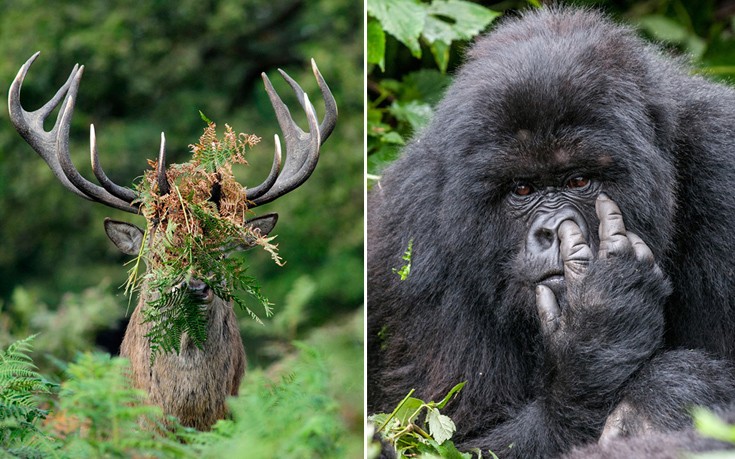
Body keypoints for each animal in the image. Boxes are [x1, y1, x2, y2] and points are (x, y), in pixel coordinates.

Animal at [368, 5, 735, 458]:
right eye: (522, 189)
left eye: (579, 180)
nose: (553, 231)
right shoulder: (414, 233)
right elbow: (451, 437)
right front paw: (600, 332)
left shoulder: (723, 164)